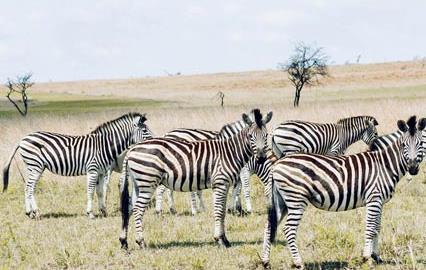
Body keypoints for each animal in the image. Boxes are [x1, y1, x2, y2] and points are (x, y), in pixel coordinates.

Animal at [2, 112, 153, 219]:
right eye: (145, 130)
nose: (154, 141)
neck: (104, 146)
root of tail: (23, 139)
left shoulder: (101, 172)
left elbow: (99, 192)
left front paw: (103, 211)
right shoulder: (92, 170)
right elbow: (90, 191)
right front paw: (90, 213)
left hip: (33, 167)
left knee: (27, 187)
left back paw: (30, 212)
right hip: (35, 166)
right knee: (29, 188)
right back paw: (35, 212)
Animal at [120, 108, 272, 249]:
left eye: (266, 135)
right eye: (250, 136)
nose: (261, 158)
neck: (231, 152)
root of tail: (131, 149)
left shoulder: (226, 184)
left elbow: (223, 211)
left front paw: (225, 238)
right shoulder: (220, 183)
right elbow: (219, 211)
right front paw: (220, 240)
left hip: (138, 184)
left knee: (130, 207)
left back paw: (124, 242)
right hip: (148, 182)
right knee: (138, 209)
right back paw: (141, 242)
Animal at [260, 115, 426, 268]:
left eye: (420, 144)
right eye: (404, 144)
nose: (412, 168)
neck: (385, 165)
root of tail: (277, 165)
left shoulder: (380, 202)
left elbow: (377, 228)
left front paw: (376, 257)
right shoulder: (374, 199)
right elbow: (370, 228)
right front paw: (366, 258)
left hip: (281, 201)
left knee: (269, 226)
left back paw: (265, 261)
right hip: (296, 199)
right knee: (289, 229)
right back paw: (298, 263)